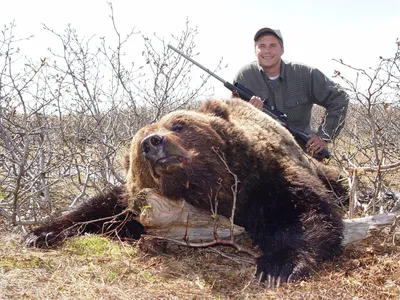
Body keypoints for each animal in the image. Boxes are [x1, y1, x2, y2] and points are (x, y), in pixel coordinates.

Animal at [25, 97, 344, 288]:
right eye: (139, 144)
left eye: (178, 125)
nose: (152, 143)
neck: (207, 191)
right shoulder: (137, 205)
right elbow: (101, 211)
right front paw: (40, 232)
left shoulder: (264, 178)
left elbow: (304, 210)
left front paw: (279, 265)